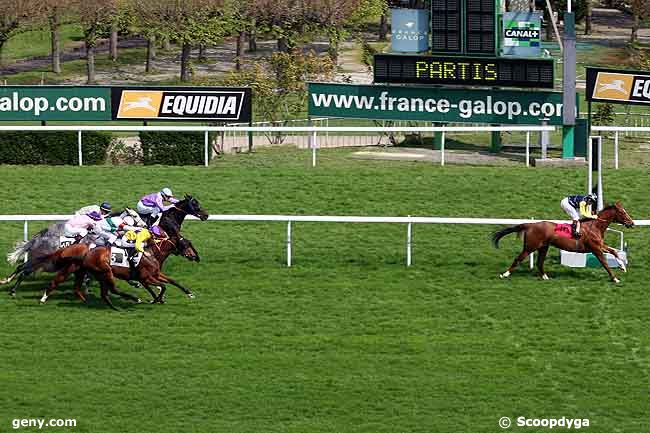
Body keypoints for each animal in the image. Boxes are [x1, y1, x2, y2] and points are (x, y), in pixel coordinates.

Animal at [492, 202, 632, 284]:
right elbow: (605, 263)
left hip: (543, 247)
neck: (595, 226)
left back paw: (545, 277)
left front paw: (622, 266)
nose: (631, 223)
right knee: (518, 259)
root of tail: (530, 225)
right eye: (622, 212)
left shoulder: (599, 245)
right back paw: (505, 274)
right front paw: (615, 278)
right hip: (530, 247)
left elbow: (614, 251)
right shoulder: (596, 248)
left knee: (539, 262)